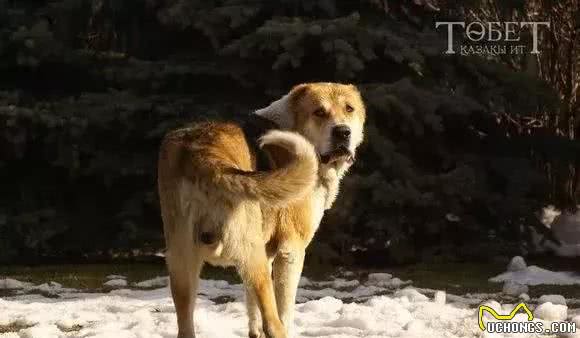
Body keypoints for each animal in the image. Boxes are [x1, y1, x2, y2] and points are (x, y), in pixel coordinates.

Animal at [157, 82, 368, 338]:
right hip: (251, 254)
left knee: (186, 325)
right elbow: (284, 310)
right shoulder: (290, 252)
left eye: (349, 108)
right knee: (273, 322)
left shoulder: (266, 254)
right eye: (319, 111)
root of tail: (200, 152)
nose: (342, 132)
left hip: (182, 263)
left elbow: (251, 308)